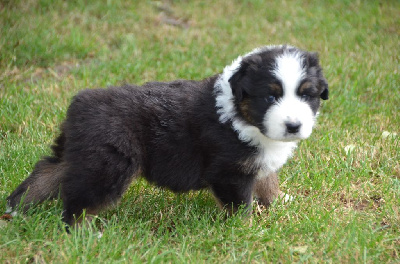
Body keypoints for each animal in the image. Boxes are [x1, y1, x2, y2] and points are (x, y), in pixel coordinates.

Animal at [4, 44, 328, 225]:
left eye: (306, 95)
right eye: (270, 97)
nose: (293, 126)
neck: (240, 116)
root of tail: (81, 102)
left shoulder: (257, 161)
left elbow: (267, 181)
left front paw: (280, 200)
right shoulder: (229, 171)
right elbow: (240, 206)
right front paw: (245, 231)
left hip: (77, 154)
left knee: (46, 173)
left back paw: (16, 209)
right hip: (109, 164)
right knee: (80, 202)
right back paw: (82, 234)